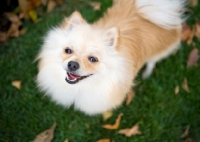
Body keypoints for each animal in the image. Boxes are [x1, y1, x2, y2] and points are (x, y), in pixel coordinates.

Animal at [36, 0, 185, 115]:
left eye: (93, 59)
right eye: (68, 50)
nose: (72, 64)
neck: (82, 86)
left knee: (152, 62)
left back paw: (147, 73)